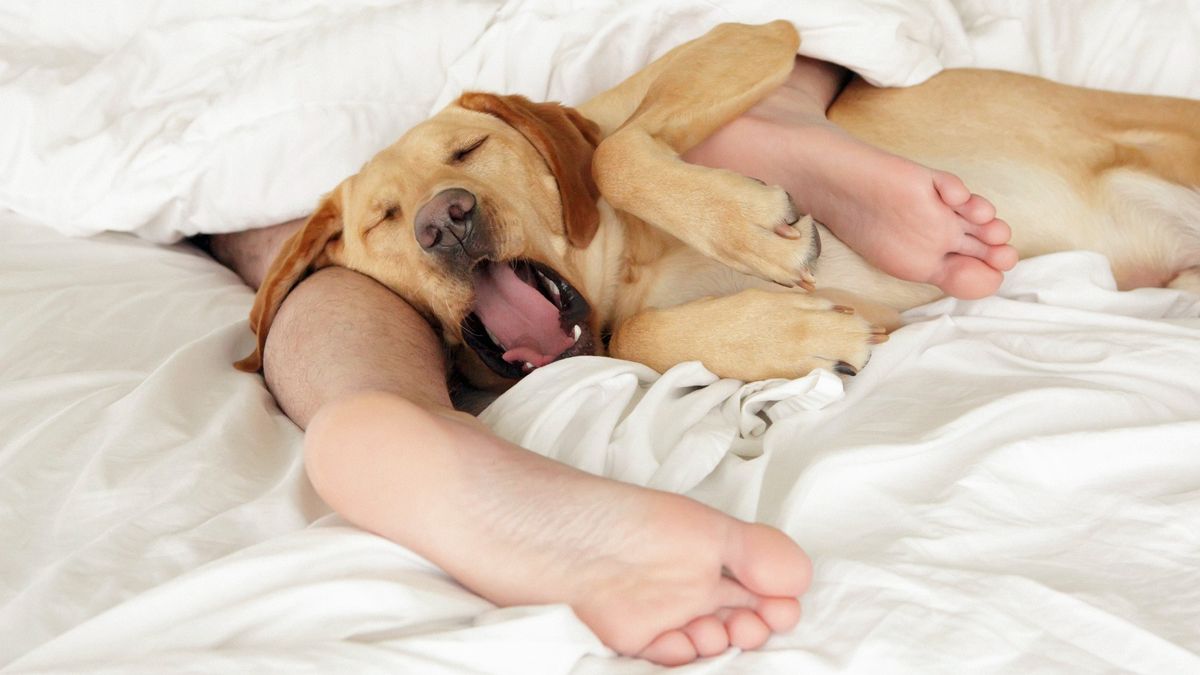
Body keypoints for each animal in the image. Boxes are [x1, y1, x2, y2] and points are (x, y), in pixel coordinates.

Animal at [234, 21, 1200, 389]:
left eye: (467, 152)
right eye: (383, 220)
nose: (446, 221)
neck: (622, 267)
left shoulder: (747, 35)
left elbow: (616, 150)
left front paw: (758, 233)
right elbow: (636, 336)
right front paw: (793, 332)